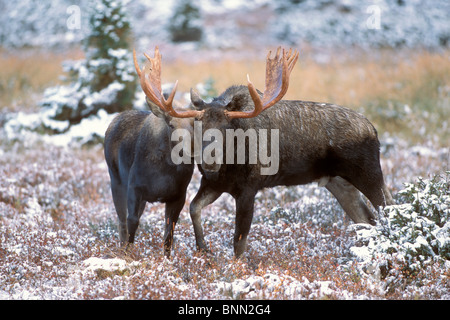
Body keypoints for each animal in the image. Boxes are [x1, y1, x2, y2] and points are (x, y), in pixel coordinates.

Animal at [105, 46, 394, 258]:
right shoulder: (214, 184)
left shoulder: (249, 189)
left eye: (226, 128)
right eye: (199, 125)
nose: (208, 162)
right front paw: (203, 249)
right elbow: (194, 209)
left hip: (368, 173)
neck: (230, 163)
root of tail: (374, 130)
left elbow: (239, 242)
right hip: (338, 182)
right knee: (366, 218)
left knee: (388, 207)